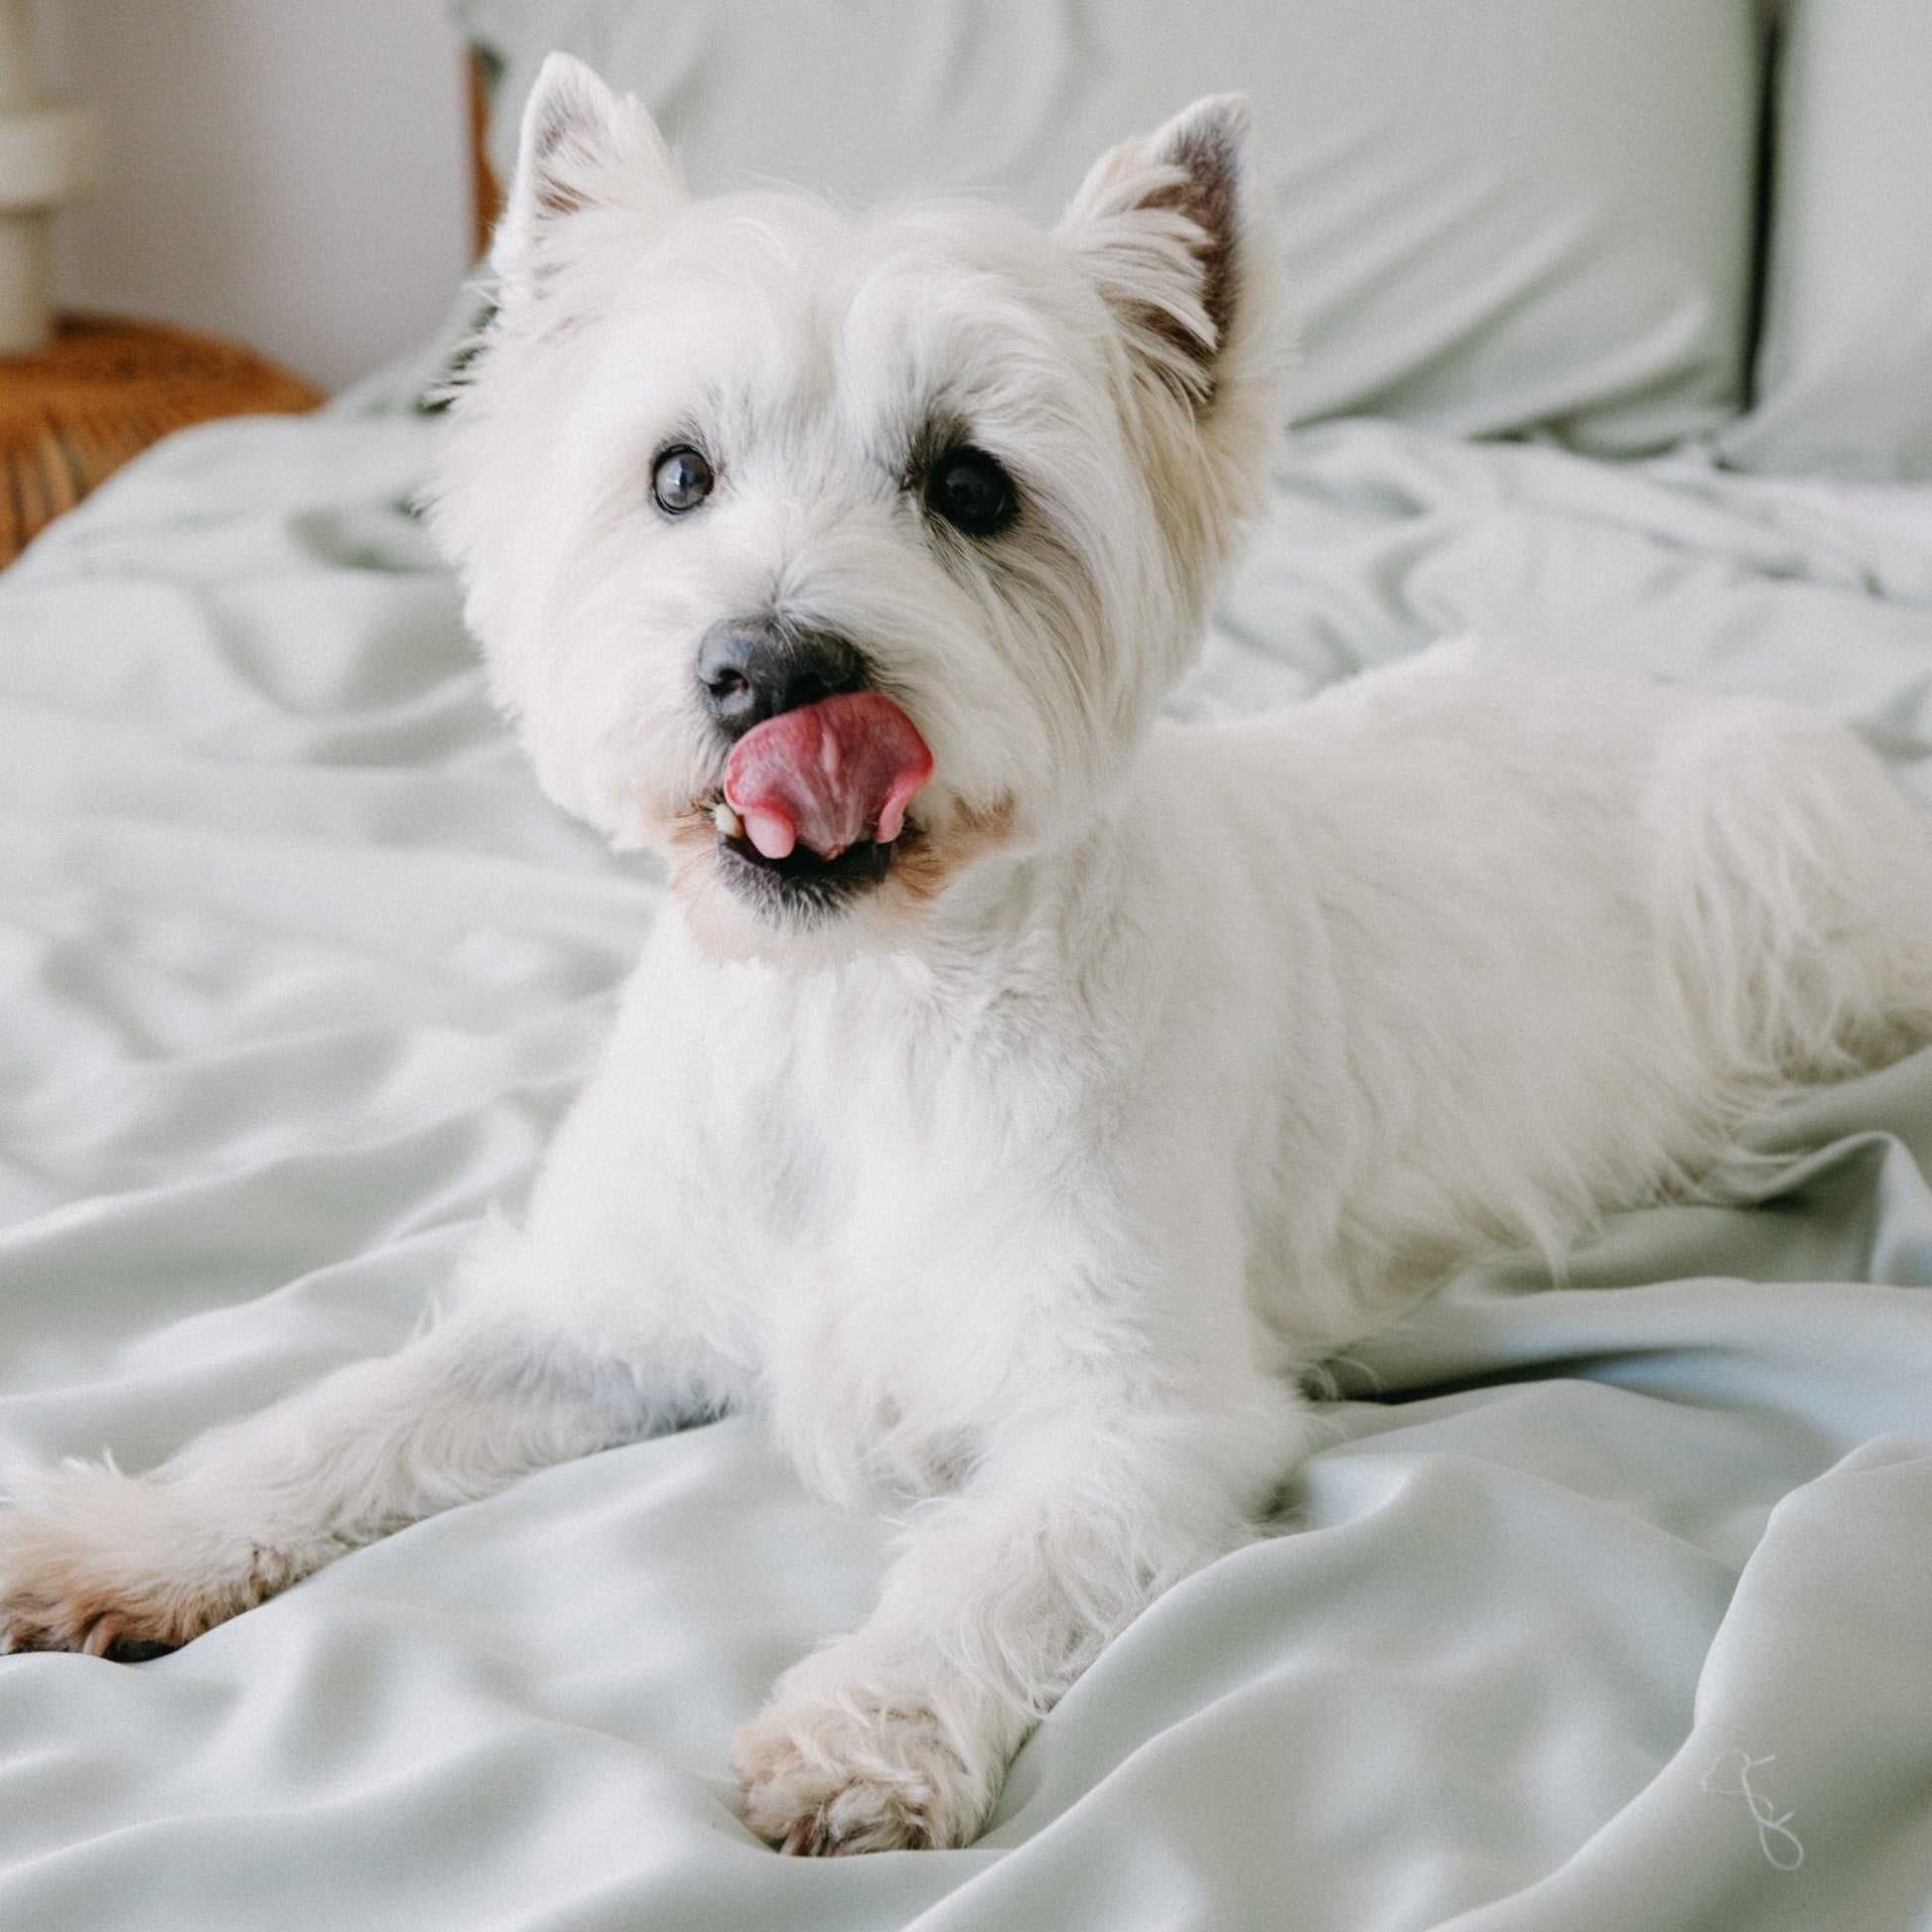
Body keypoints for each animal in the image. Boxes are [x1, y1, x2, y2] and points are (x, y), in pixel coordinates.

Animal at [3, 49, 1932, 1855]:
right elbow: (342, 1417)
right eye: (676, 474)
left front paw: (861, 1735)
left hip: (1779, 868)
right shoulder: (592, 1317)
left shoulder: (1143, 1413)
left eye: (972, 486)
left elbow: (989, 1568)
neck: (856, 1018)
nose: (771, 670)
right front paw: (136, 1534)